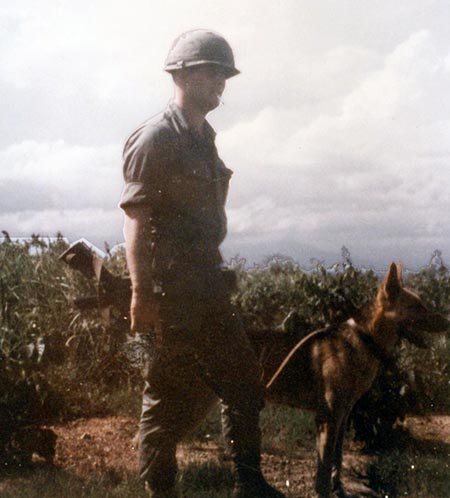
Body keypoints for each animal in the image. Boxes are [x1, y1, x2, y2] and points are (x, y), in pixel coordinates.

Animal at [250, 262, 450, 496]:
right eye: (416, 306)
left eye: (422, 304)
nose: (448, 322)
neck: (364, 339)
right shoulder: (328, 417)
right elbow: (324, 467)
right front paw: (324, 491)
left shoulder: (343, 415)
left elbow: (336, 460)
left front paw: (338, 488)